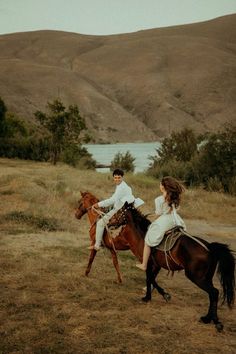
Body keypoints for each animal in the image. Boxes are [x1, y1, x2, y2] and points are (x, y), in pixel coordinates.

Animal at [109, 202, 235, 332]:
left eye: (118, 212)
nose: (108, 223)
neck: (142, 236)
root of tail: (209, 247)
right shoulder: (157, 266)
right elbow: (151, 279)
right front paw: (153, 296)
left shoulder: (149, 264)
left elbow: (149, 279)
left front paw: (156, 296)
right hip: (207, 277)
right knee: (212, 294)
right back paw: (207, 318)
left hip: (196, 277)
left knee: (214, 292)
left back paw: (215, 321)